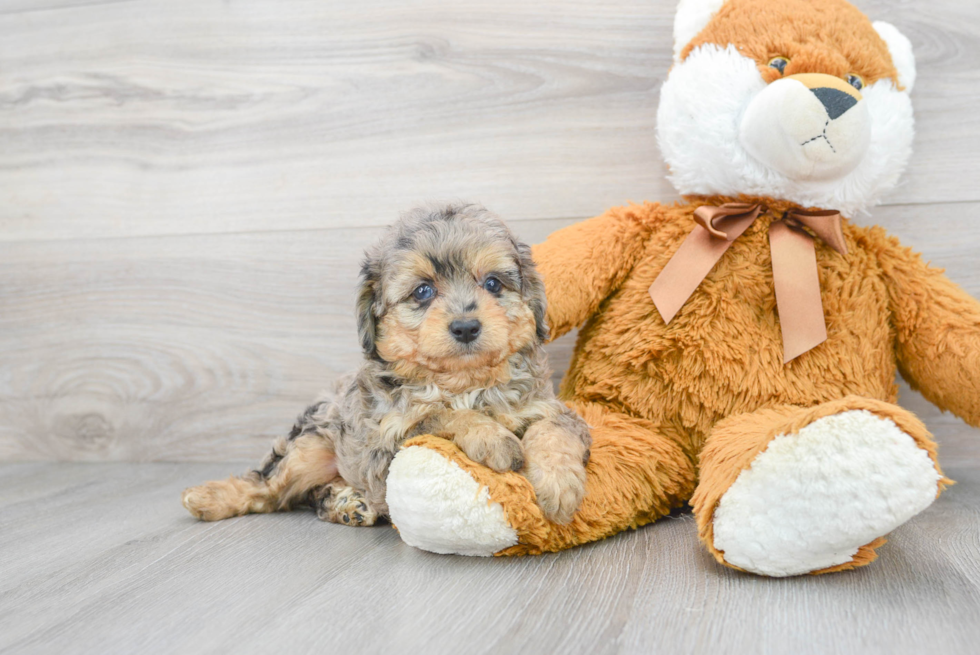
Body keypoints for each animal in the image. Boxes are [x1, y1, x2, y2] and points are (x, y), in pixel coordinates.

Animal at [186, 202, 588, 524]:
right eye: (423, 291)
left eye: (492, 283)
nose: (466, 327)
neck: (464, 384)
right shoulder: (387, 443)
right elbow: (442, 415)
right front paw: (494, 439)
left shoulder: (549, 408)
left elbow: (554, 429)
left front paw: (558, 485)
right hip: (310, 444)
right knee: (269, 488)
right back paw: (208, 498)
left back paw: (347, 504)